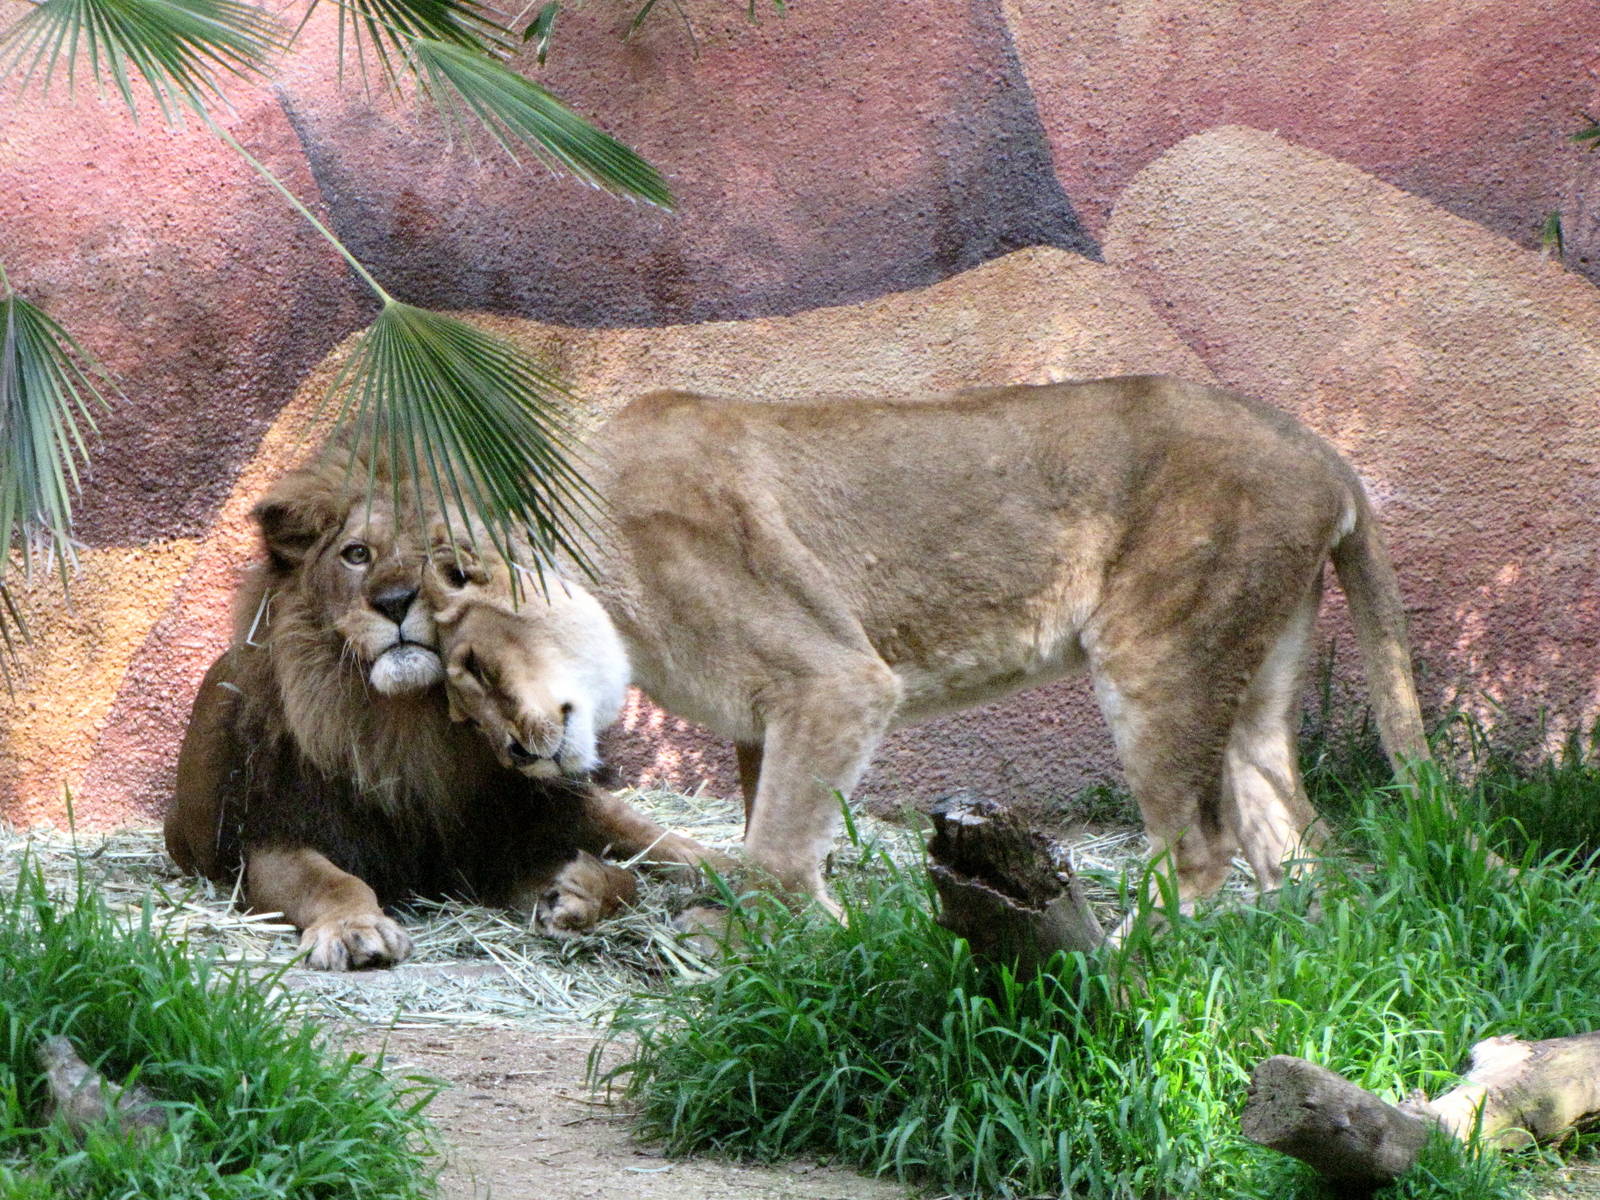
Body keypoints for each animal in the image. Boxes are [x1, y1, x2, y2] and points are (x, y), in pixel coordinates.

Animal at [163, 450, 716, 970]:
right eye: (356, 554)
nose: (393, 601)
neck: (407, 723)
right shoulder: (275, 838)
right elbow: (330, 883)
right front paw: (355, 929)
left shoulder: (498, 842)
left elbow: (621, 879)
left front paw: (579, 891)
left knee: (651, 836)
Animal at [424, 375, 1443, 925]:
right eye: (454, 709)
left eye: (470, 667)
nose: (512, 752)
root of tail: (1321, 450)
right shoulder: (767, 719)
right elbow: (769, 838)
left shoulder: (838, 681)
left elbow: (774, 858)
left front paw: (828, 956)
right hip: (1255, 678)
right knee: (1300, 848)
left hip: (1160, 656)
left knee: (1199, 851)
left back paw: (1114, 978)